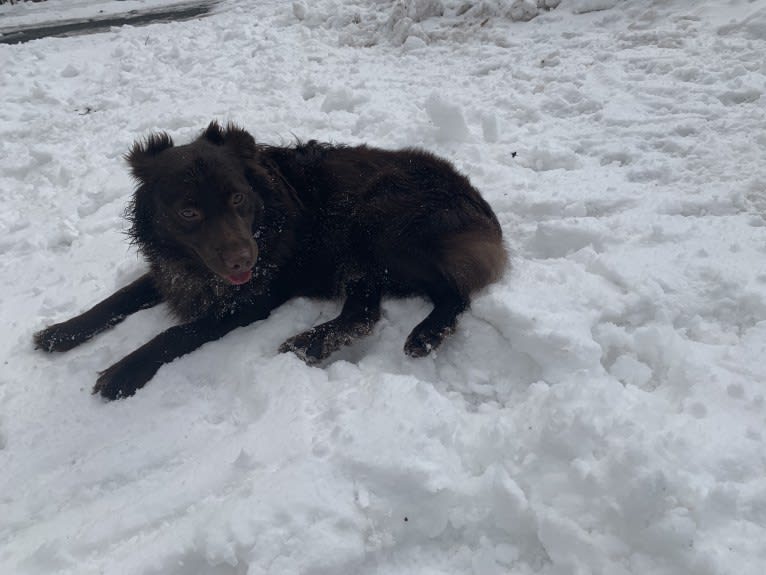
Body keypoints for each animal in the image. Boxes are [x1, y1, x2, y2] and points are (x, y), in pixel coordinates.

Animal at [33, 121, 508, 400]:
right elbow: (114, 301)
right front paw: (61, 331)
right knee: (363, 312)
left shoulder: (252, 299)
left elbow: (177, 333)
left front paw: (123, 371)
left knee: (450, 294)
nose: (243, 262)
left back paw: (422, 334)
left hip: (375, 220)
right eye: (189, 212)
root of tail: (480, 206)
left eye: (237, 198)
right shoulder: (176, 269)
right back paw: (310, 343)